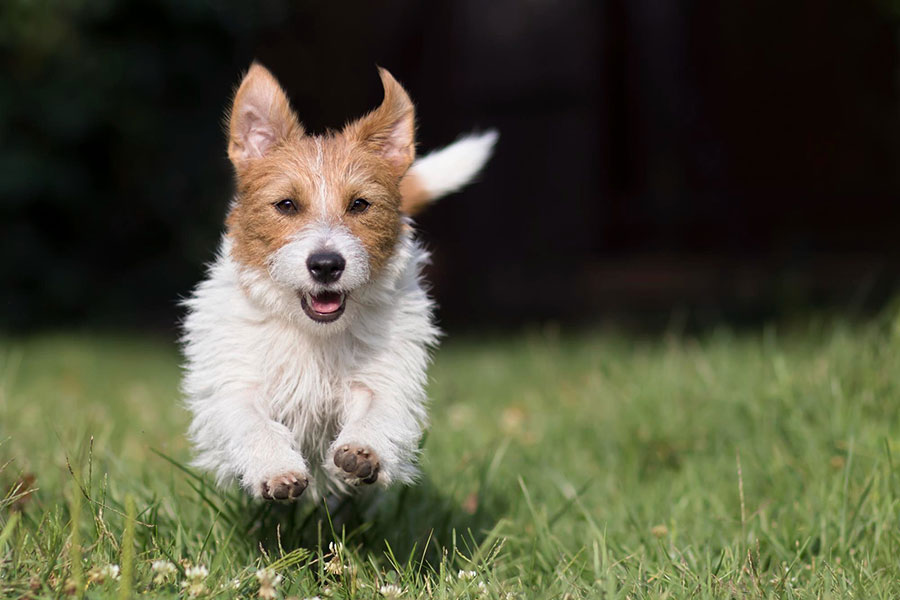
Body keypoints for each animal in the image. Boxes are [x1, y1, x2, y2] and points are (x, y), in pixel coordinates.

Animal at [180, 63, 496, 500]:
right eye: (286, 205)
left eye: (360, 204)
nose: (326, 265)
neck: (313, 333)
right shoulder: (236, 381)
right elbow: (251, 422)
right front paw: (276, 468)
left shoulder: (385, 376)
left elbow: (378, 410)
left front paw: (363, 451)